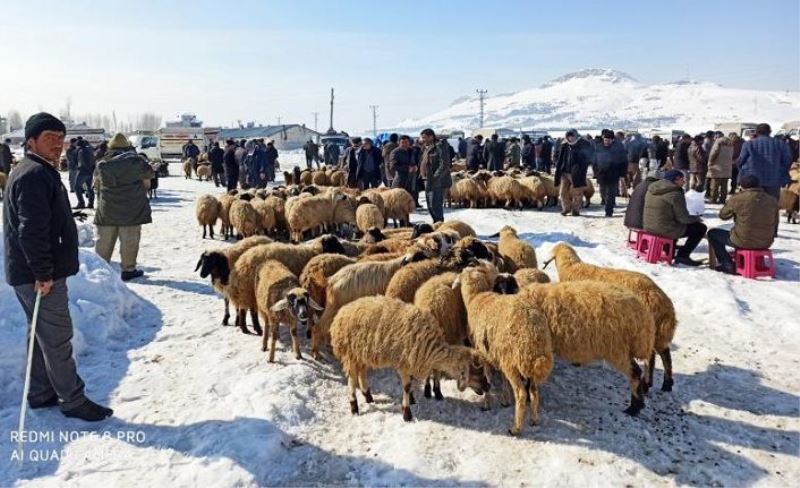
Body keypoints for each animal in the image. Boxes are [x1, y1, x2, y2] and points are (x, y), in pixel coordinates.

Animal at [326, 296, 488, 422]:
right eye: (476, 373)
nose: (488, 387)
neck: (431, 349)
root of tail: (339, 315)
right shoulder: (404, 363)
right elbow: (407, 386)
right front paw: (407, 413)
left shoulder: (411, 362)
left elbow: (410, 383)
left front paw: (412, 399)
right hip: (350, 353)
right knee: (351, 379)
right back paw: (354, 407)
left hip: (361, 353)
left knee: (362, 372)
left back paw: (368, 396)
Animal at [454, 264, 552, 434]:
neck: (476, 298)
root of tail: (535, 336)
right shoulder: (496, 352)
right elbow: (502, 379)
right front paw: (505, 399)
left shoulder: (483, 352)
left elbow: (487, 379)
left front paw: (487, 403)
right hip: (528, 362)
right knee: (534, 392)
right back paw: (534, 420)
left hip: (513, 361)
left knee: (521, 394)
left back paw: (516, 428)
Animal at [544, 244, 676, 392]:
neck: (571, 268)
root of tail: (661, 301)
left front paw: (576, 361)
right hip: (653, 333)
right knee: (661, 354)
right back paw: (663, 384)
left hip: (644, 331)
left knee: (655, 356)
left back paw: (651, 383)